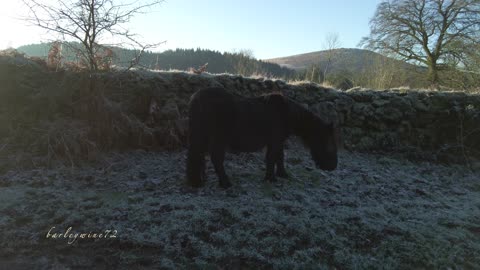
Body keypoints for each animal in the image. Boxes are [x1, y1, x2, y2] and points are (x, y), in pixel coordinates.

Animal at [186, 87, 336, 189]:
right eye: (329, 142)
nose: (332, 167)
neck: (287, 114)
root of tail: (196, 97)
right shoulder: (275, 141)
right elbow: (272, 158)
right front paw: (271, 178)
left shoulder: (278, 141)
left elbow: (279, 157)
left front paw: (282, 174)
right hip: (218, 139)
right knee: (216, 159)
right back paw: (225, 183)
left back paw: (198, 181)